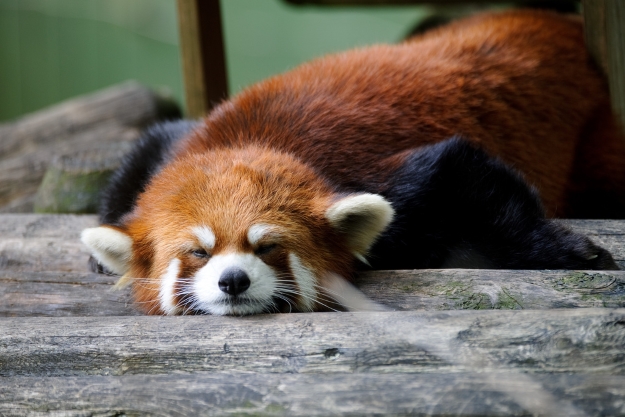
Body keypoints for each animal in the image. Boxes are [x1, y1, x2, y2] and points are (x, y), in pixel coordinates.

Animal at [80, 10, 620, 316]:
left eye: (268, 247)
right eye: (198, 252)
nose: (233, 281)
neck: (249, 140)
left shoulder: (393, 179)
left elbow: (461, 168)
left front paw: (572, 253)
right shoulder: (180, 141)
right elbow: (148, 145)